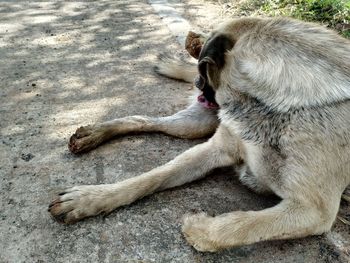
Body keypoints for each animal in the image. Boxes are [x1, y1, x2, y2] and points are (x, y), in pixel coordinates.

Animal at [49, 17, 350, 253]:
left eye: (203, 69)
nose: (196, 83)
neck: (276, 104)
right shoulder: (214, 149)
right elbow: (150, 178)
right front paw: (91, 198)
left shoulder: (314, 211)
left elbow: (242, 225)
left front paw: (198, 228)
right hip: (195, 124)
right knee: (144, 120)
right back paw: (94, 133)